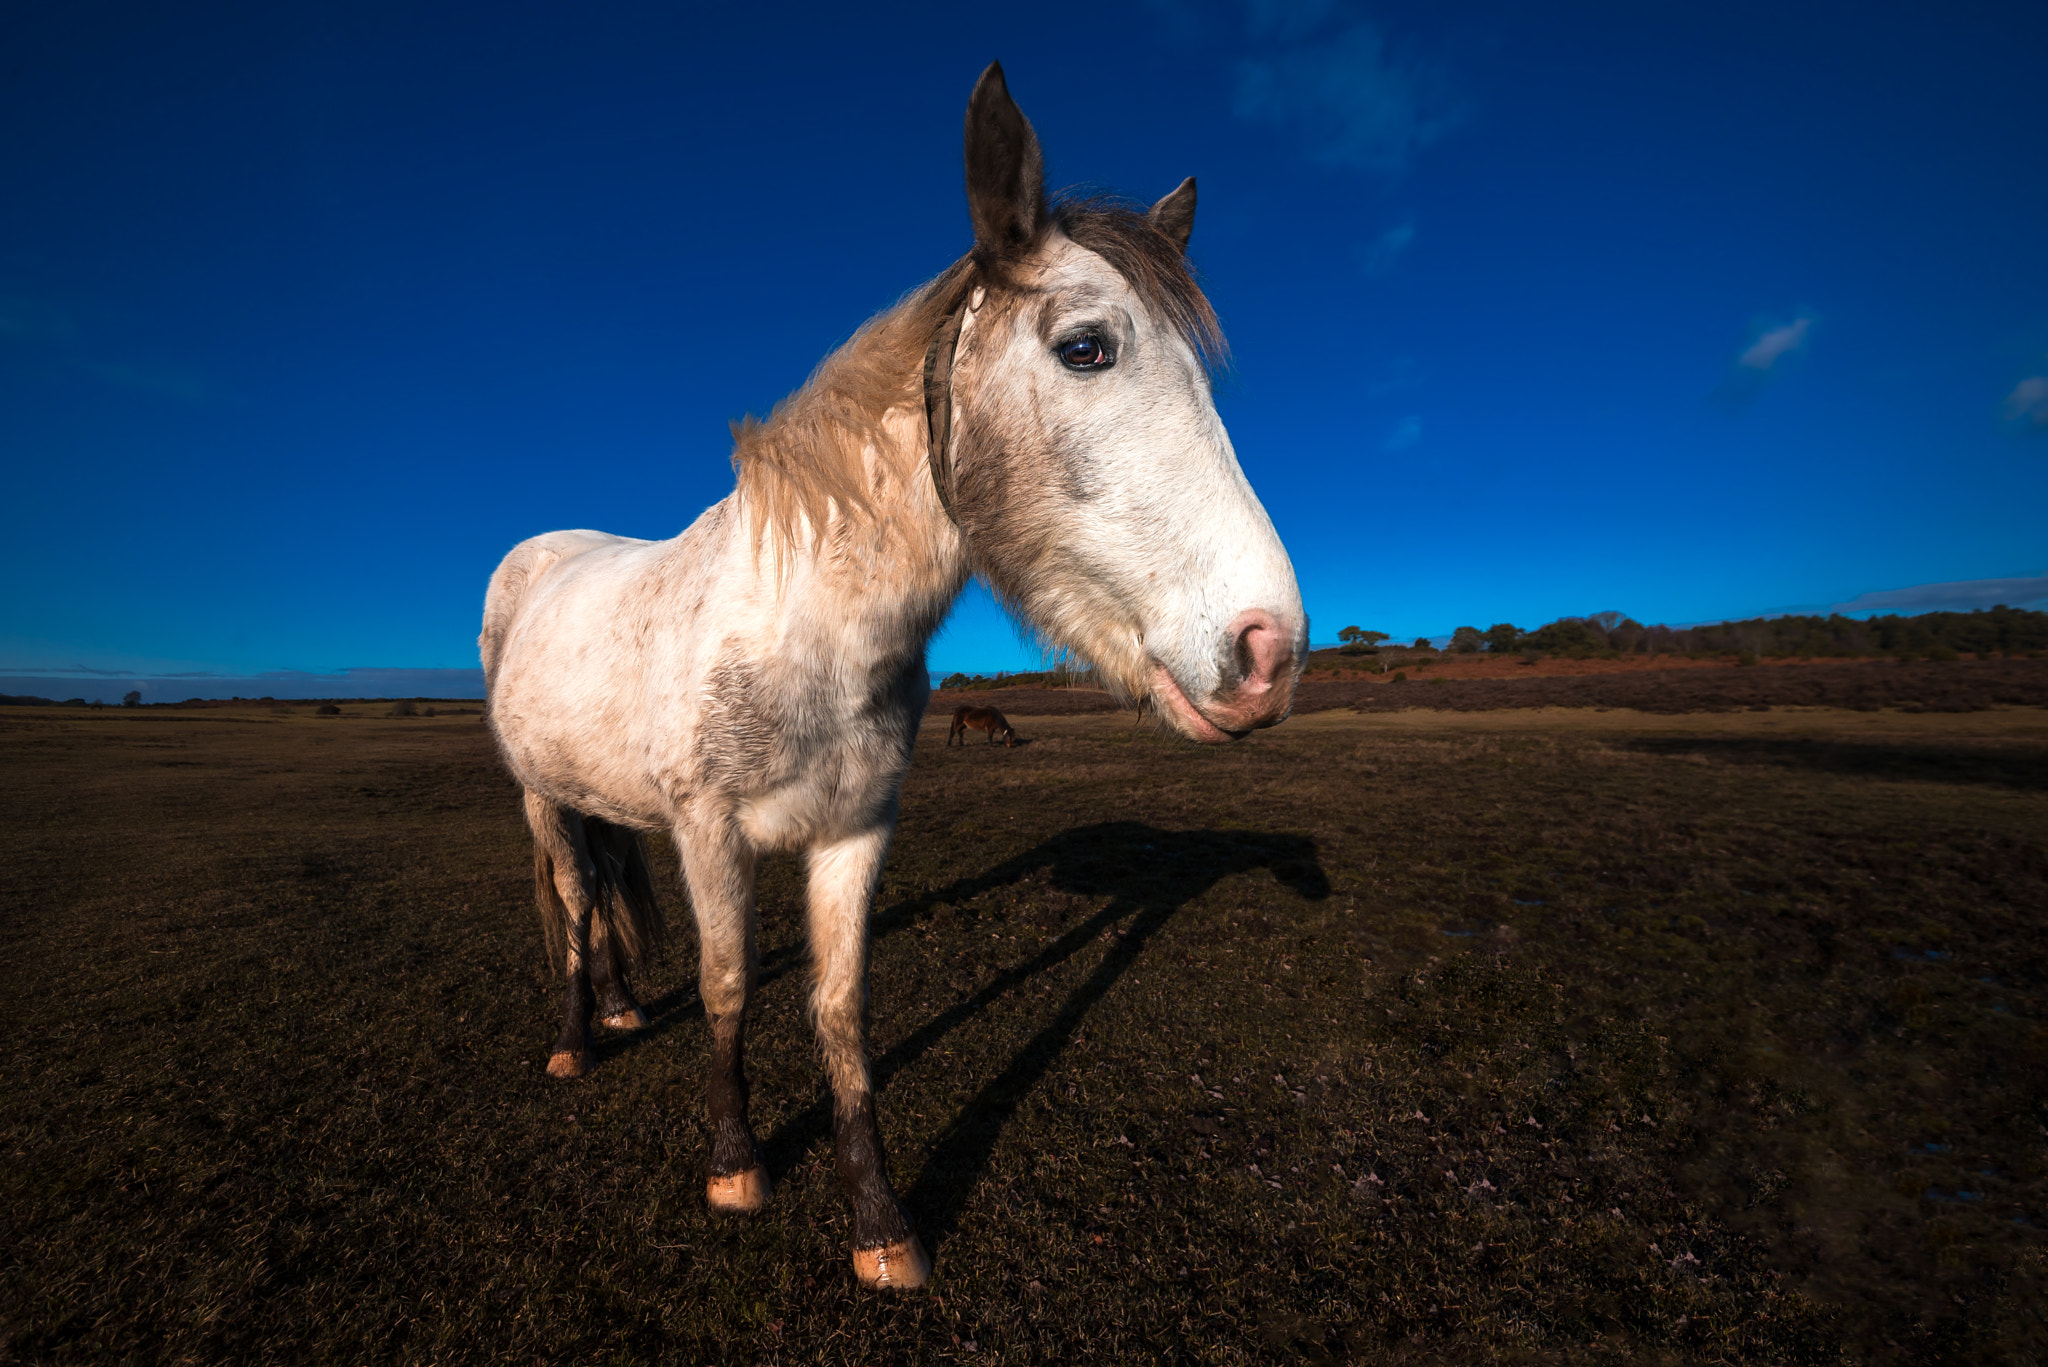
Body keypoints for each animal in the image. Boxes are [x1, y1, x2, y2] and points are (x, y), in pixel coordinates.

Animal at [477, 61, 1302, 1287]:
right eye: (1087, 347)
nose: (1268, 650)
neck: (807, 629)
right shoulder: (709, 836)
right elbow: (729, 990)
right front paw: (737, 1167)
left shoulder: (856, 834)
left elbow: (839, 1012)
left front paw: (879, 1223)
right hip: (539, 796)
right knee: (576, 900)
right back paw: (579, 1040)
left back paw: (622, 1011)